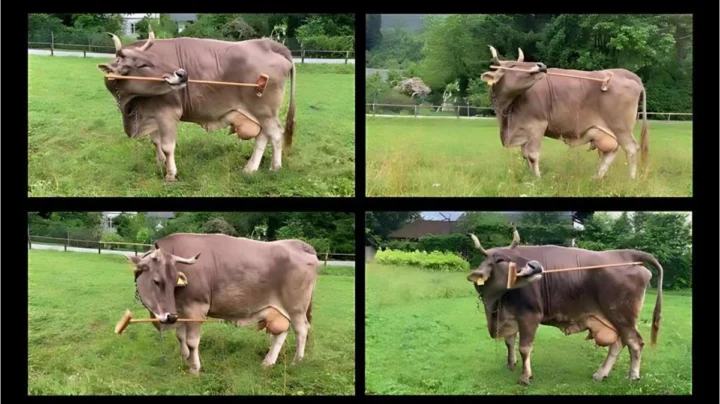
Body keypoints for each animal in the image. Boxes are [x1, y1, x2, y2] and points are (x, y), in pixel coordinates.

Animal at [97, 27, 296, 182]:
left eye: (152, 59)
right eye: (142, 64)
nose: (182, 74)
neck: (131, 106)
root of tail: (268, 44)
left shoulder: (167, 113)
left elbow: (168, 146)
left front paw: (171, 174)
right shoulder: (151, 114)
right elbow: (156, 142)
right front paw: (160, 162)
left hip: (265, 111)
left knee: (275, 134)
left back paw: (275, 167)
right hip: (259, 114)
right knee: (263, 136)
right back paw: (251, 168)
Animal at [124, 233, 318, 373]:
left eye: (174, 281)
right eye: (156, 281)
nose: (169, 317)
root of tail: (297, 244)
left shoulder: (196, 309)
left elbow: (192, 341)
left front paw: (194, 368)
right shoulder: (181, 312)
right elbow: (181, 337)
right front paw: (184, 360)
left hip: (296, 308)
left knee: (301, 330)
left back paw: (297, 362)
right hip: (279, 310)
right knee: (282, 332)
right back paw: (268, 362)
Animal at [465, 226, 663, 385]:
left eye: (519, 255)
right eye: (500, 260)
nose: (535, 266)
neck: (495, 303)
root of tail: (626, 253)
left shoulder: (529, 315)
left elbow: (524, 347)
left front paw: (525, 377)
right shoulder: (510, 316)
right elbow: (509, 341)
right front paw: (511, 364)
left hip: (623, 316)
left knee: (635, 342)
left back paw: (632, 376)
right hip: (613, 319)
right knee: (618, 343)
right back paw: (601, 374)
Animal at [479, 46, 649, 180]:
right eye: (514, 65)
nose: (541, 65)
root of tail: (626, 73)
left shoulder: (537, 126)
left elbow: (532, 155)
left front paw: (537, 179)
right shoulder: (523, 130)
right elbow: (525, 155)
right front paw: (529, 177)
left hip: (621, 128)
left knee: (631, 149)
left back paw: (631, 179)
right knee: (611, 152)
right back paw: (596, 178)